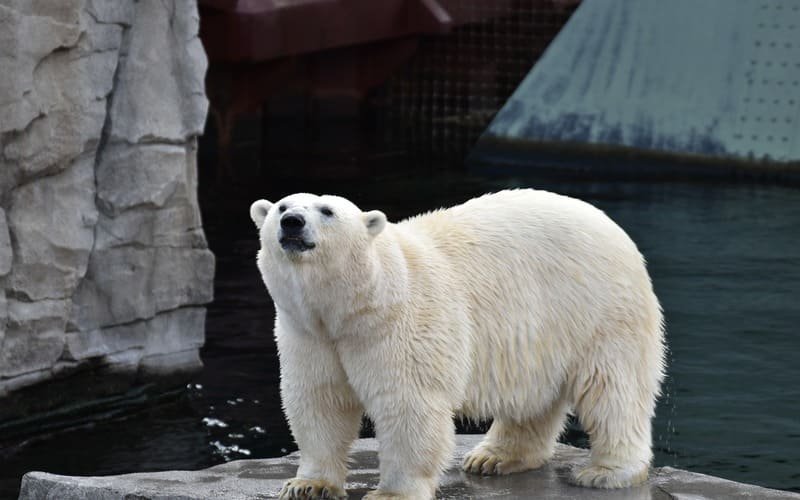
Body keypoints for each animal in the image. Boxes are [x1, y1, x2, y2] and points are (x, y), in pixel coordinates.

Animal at [250, 189, 664, 498]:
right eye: (283, 206)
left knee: (613, 389)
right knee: (532, 395)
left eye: (327, 211)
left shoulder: (400, 325)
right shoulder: (308, 333)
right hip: (541, 332)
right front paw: (307, 484)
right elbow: (319, 400)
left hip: (599, 308)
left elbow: (407, 404)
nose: (292, 222)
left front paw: (392, 493)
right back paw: (494, 457)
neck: (356, 304)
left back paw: (606, 472)